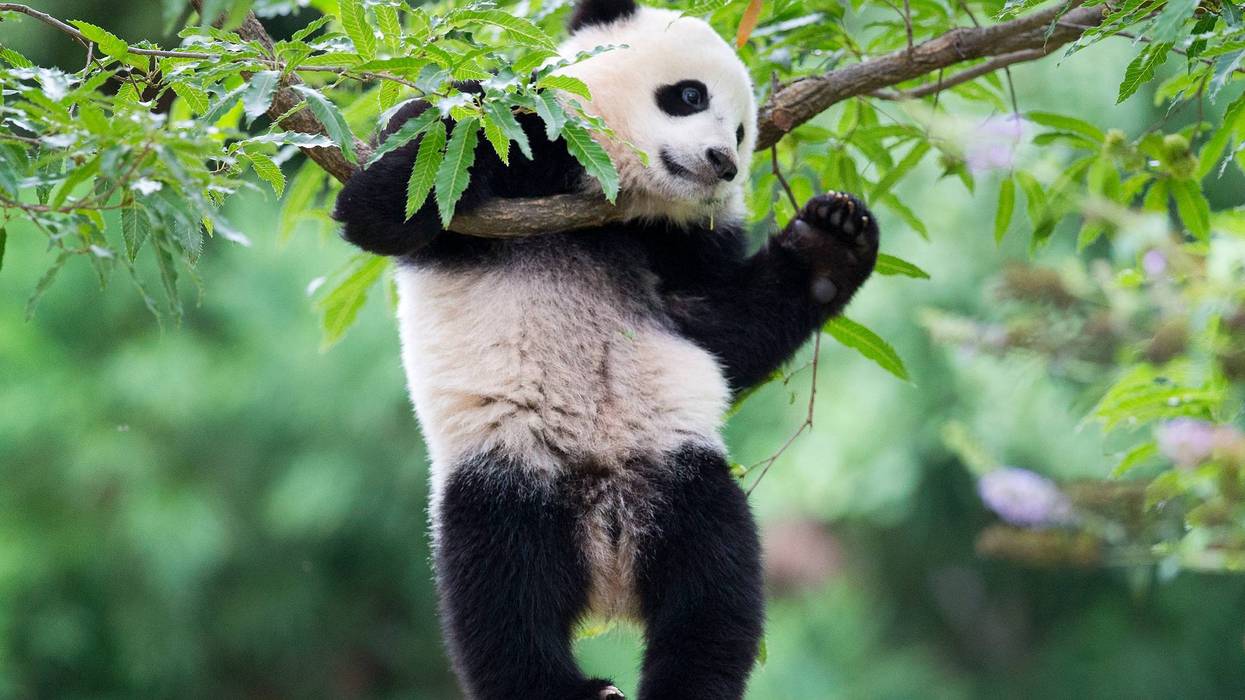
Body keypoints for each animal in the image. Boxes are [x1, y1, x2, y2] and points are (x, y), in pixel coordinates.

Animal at [332, 0, 879, 697]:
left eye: (742, 132)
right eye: (690, 95)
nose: (721, 162)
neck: (617, 199)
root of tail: (606, 561)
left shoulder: (680, 246)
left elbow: (724, 332)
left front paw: (833, 241)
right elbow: (399, 193)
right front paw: (459, 134)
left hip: (676, 473)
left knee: (716, 582)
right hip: (511, 472)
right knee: (500, 591)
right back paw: (565, 687)